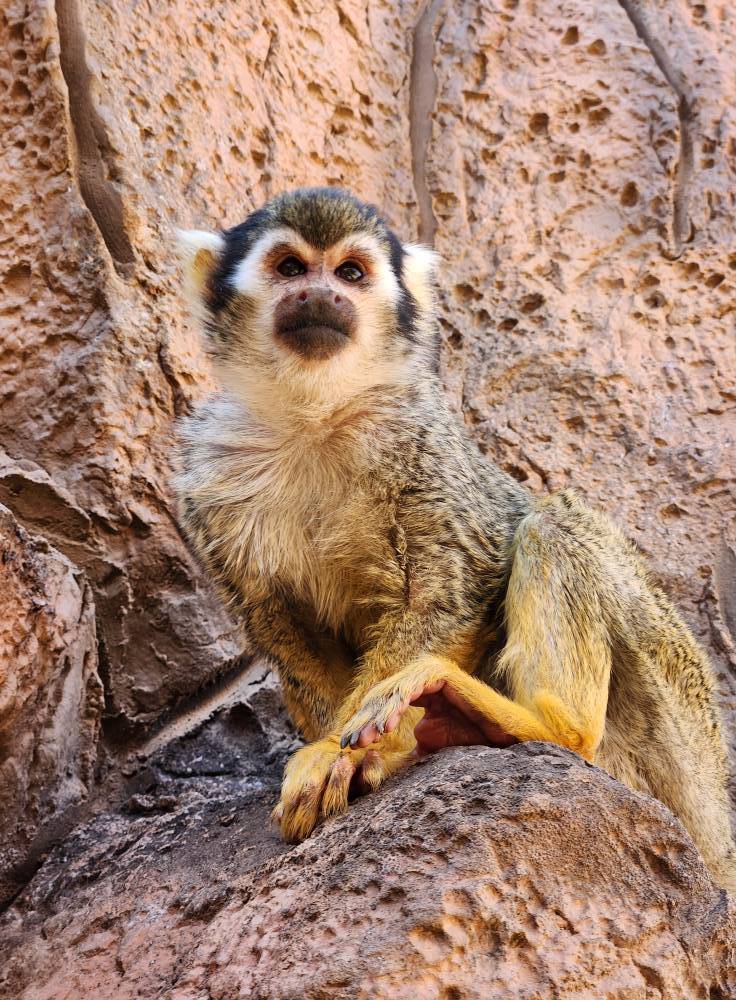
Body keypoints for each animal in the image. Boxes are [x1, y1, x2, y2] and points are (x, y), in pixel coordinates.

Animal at [174, 187, 736, 892]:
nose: (321, 294)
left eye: (350, 273)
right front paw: (331, 749)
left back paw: (547, 727)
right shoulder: (207, 482)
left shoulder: (422, 438)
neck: (317, 414)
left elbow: (451, 589)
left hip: (680, 742)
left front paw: (344, 752)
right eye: (290, 268)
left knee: (552, 522)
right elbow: (281, 626)